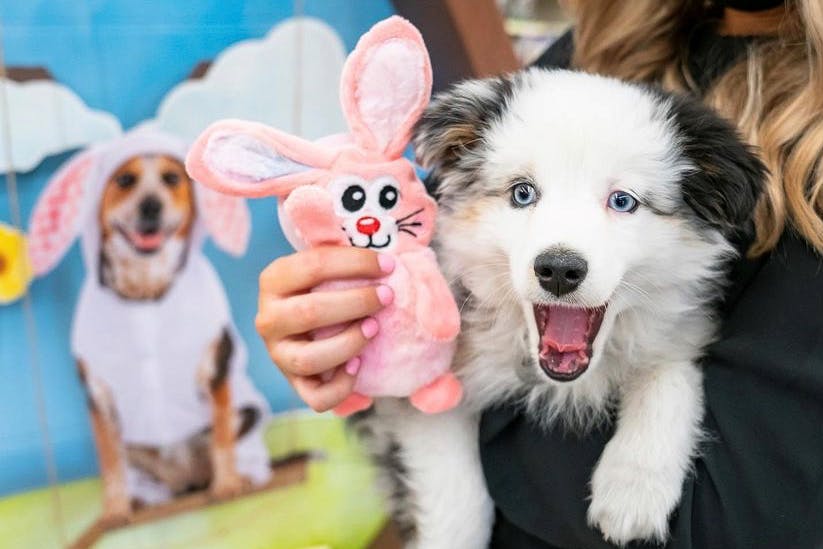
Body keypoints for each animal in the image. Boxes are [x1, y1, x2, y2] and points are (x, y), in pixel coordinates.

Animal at [360, 70, 768, 544]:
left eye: (623, 200)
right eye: (522, 193)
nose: (558, 269)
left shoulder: (681, 327)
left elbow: (668, 375)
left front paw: (633, 487)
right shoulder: (430, 389)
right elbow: (455, 499)